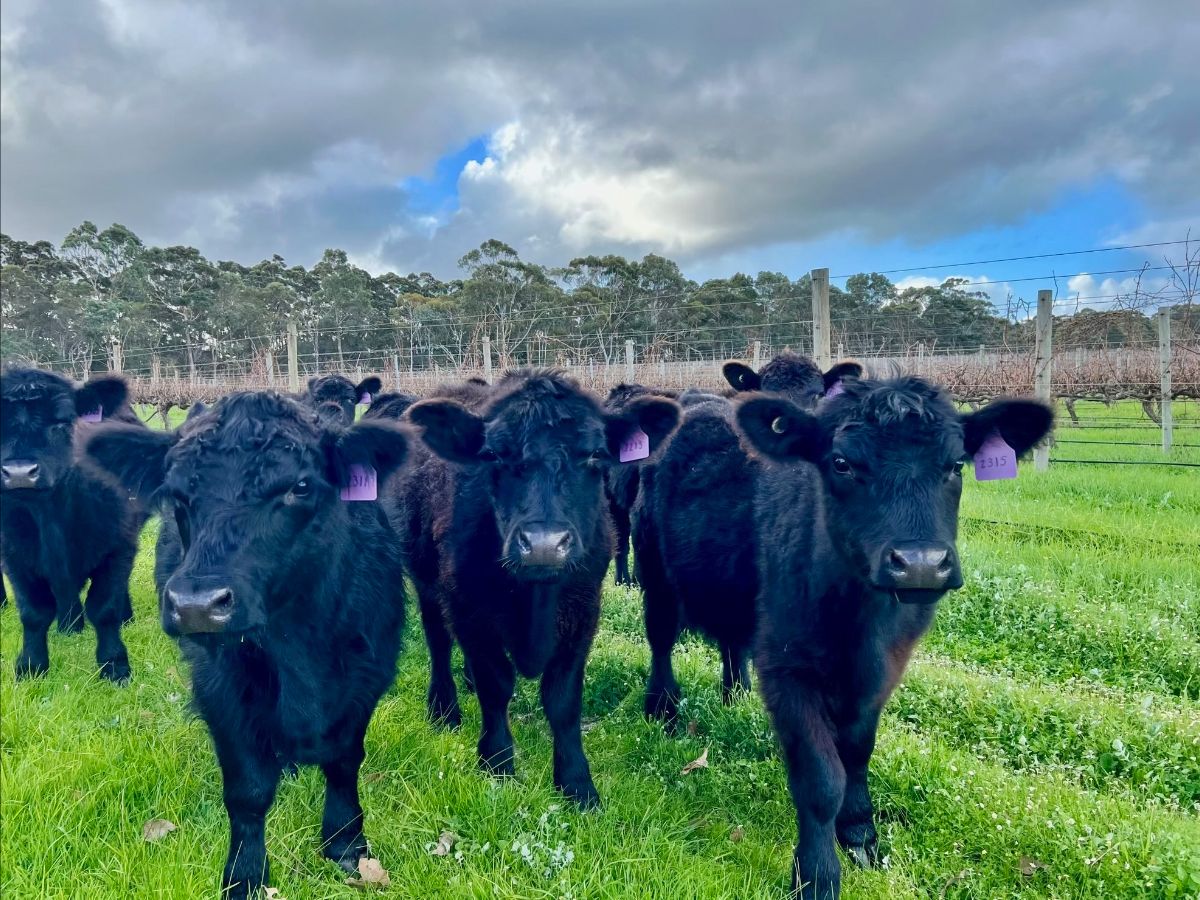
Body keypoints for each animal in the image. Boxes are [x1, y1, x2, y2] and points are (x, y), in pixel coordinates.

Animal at [0, 368, 139, 681]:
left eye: (61, 422)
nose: (19, 472)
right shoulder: (15, 557)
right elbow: (34, 613)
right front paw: (31, 666)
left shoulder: (118, 546)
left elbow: (104, 608)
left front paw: (114, 665)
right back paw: (69, 626)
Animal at [83, 391, 412, 898]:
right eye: (177, 494)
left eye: (300, 485)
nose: (197, 605)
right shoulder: (219, 686)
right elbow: (248, 789)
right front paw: (244, 874)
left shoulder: (367, 673)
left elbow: (343, 761)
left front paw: (344, 842)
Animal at [394, 369, 679, 807]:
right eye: (494, 455)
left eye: (594, 455)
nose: (544, 544)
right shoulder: (467, 609)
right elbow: (496, 687)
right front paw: (497, 764)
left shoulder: (583, 612)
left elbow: (562, 699)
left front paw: (577, 784)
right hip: (426, 581)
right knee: (438, 642)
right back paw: (444, 709)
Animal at [632, 355, 862, 723]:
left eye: (817, 395)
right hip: (652, 562)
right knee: (661, 633)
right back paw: (662, 707)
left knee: (729, 639)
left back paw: (736, 692)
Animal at [734, 376, 1052, 899]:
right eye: (841, 463)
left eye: (956, 464)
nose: (920, 564)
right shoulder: (784, 668)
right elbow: (821, 777)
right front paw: (817, 875)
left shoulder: (883, 673)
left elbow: (857, 755)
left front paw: (861, 836)